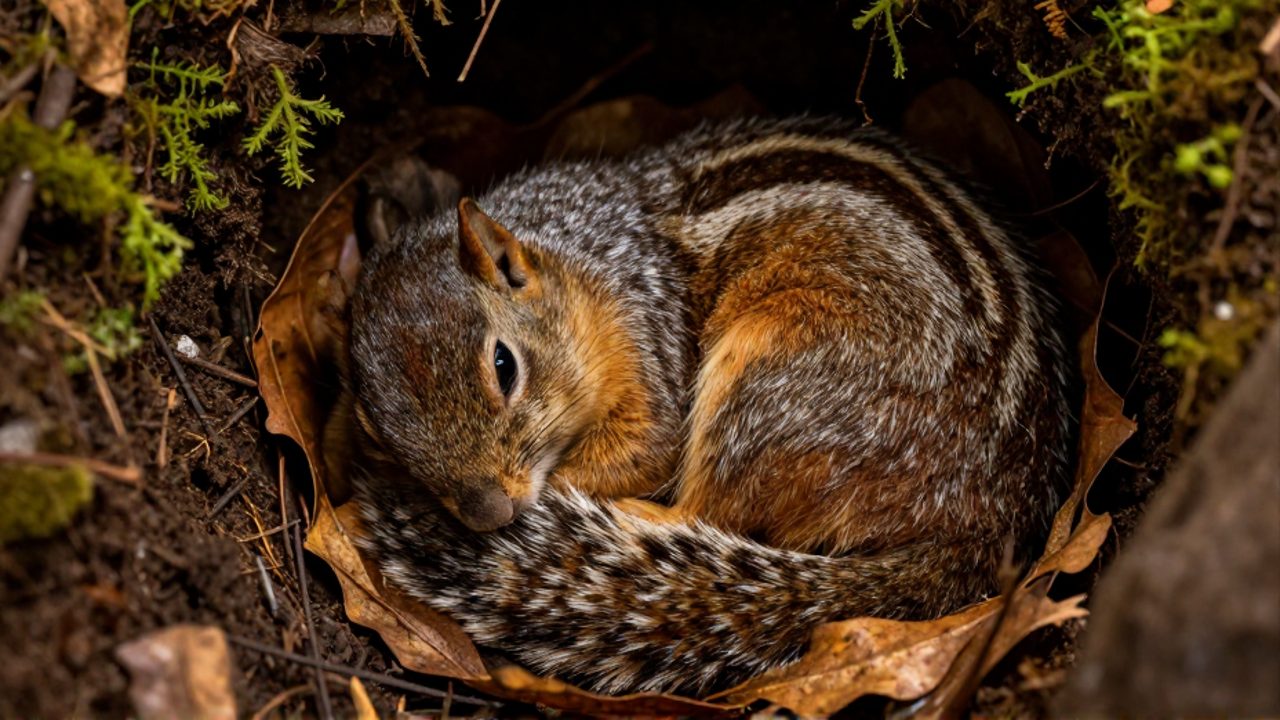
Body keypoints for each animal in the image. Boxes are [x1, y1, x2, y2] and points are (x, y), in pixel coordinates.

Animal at [335, 117, 1073, 696]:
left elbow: (648, 447)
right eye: (376, 432)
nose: (491, 515)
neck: (579, 258)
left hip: (774, 389)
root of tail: (988, 516)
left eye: (502, 365)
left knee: (711, 508)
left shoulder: (649, 337)